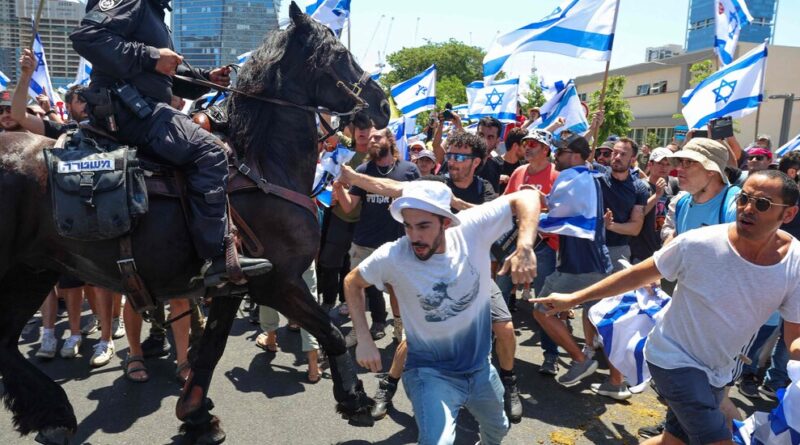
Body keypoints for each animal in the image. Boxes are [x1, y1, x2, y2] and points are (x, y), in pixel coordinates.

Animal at [0, 2, 390, 440]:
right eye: (339, 54)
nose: (382, 105)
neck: (262, 165)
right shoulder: (278, 281)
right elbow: (331, 332)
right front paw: (356, 400)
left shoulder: (231, 286)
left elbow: (209, 351)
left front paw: (196, 415)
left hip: (32, 271)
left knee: (4, 343)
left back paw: (52, 414)